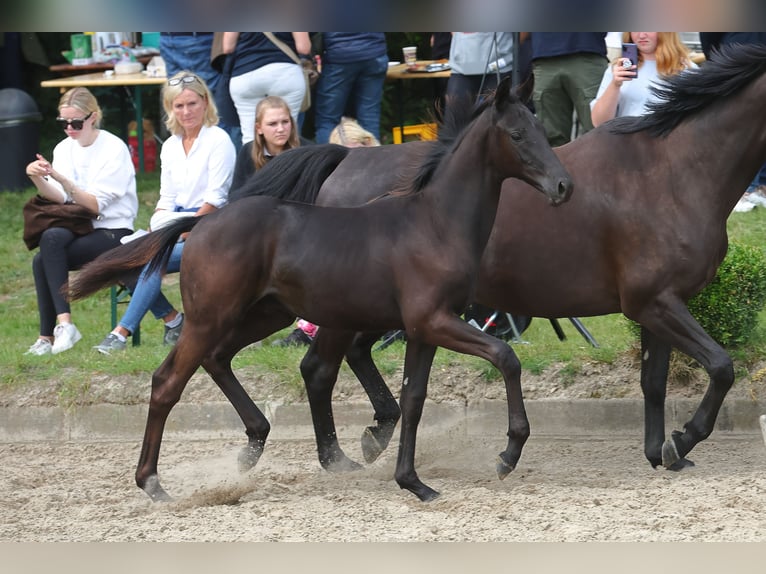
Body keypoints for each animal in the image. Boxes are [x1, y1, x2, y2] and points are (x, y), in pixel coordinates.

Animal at [72, 80, 572, 504]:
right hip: (212, 317)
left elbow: (413, 399)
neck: (436, 224)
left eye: (541, 130)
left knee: (224, 359)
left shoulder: (424, 328)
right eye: (517, 134)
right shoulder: (434, 321)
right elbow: (506, 357)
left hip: (265, 314)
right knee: (168, 383)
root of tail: (200, 223)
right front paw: (508, 454)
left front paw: (413, 482)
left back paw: (257, 441)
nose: (563, 186)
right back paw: (153, 483)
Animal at [240, 44, 766, 476]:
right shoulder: (655, 303)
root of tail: (344, 159)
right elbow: (721, 367)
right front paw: (684, 438)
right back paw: (339, 457)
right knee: (319, 369)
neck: (672, 171)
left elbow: (655, 383)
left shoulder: (657, 305)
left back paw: (375, 435)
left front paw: (662, 452)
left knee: (348, 358)